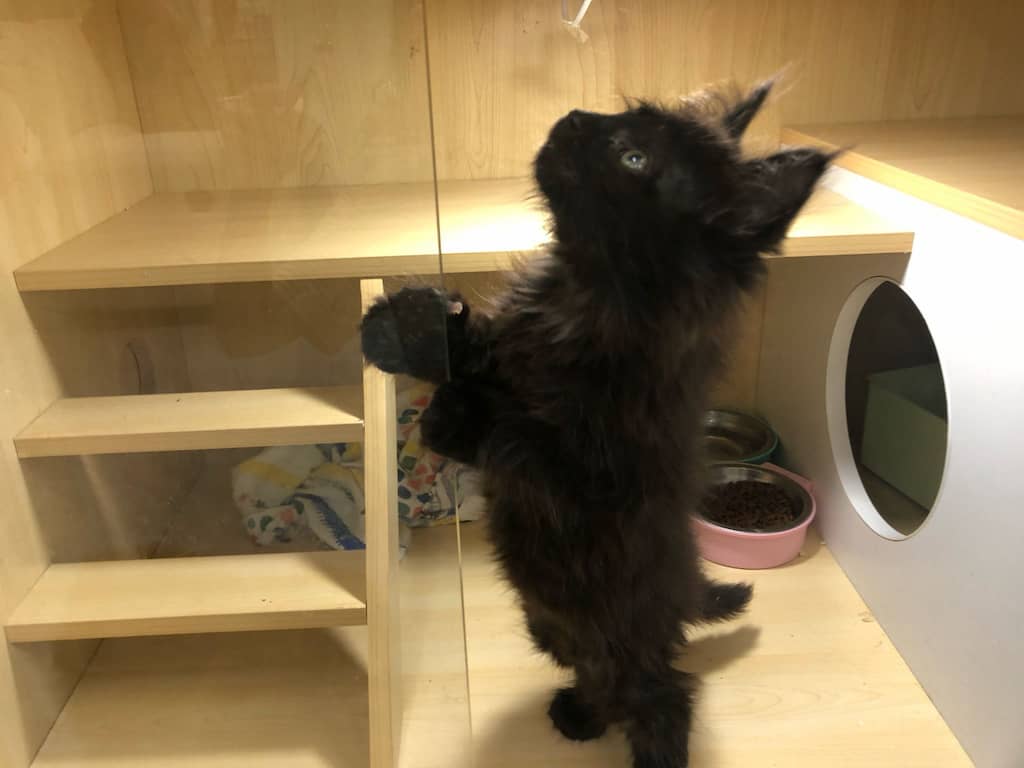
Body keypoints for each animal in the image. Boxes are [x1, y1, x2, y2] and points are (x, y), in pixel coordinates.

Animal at [360, 80, 832, 767]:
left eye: (633, 158)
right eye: (621, 119)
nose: (576, 118)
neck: (581, 295)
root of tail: (683, 589)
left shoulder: (601, 472)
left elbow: (521, 433)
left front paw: (459, 412)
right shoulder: (507, 345)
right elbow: (473, 353)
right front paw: (405, 329)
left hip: (625, 638)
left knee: (661, 695)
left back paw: (657, 753)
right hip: (552, 624)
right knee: (596, 677)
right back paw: (580, 715)